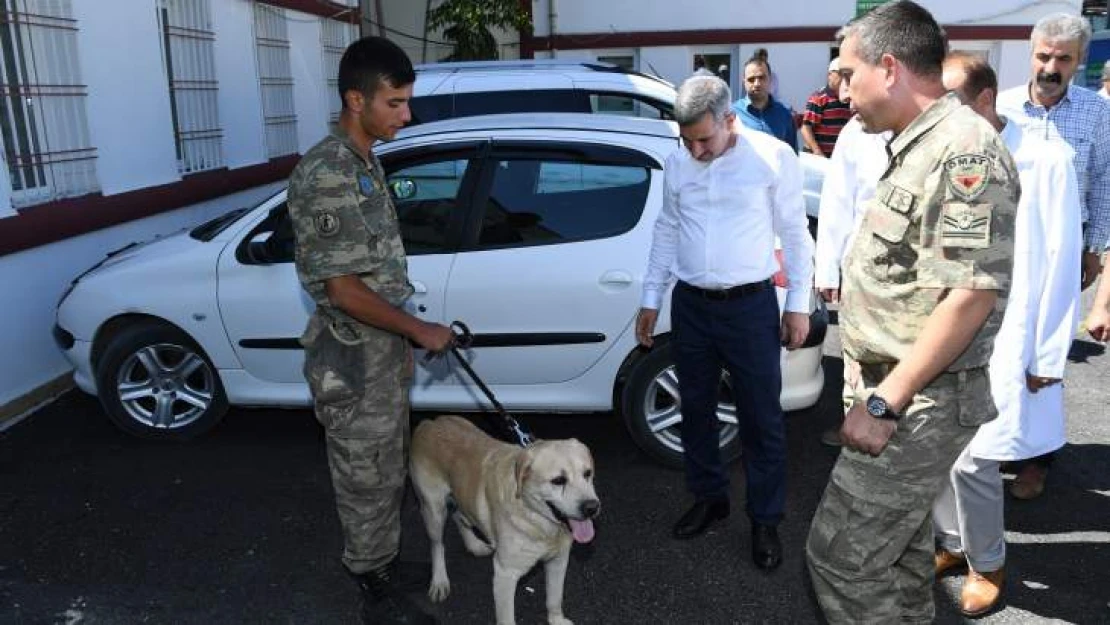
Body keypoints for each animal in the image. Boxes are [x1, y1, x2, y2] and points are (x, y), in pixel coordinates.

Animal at [408, 415, 599, 625]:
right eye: (558, 480)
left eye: (587, 473)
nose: (592, 508)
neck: (535, 518)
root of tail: (430, 422)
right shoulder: (505, 574)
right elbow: (506, 618)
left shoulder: (558, 561)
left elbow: (554, 599)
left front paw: (556, 620)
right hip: (433, 510)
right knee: (437, 545)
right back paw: (439, 580)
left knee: (459, 516)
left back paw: (474, 545)